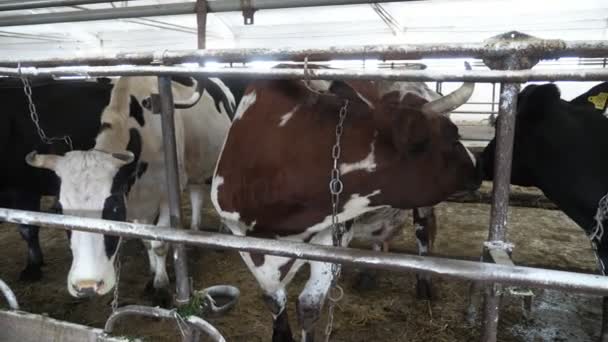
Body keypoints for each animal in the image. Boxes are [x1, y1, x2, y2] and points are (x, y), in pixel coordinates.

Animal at [24, 76, 233, 298]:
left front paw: (160, 284)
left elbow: (159, 243)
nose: (87, 286)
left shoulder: (167, 196)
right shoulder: (134, 203)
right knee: (196, 194)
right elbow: (146, 240)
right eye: (59, 210)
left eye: (114, 208)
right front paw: (153, 273)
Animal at [211, 67, 482, 342]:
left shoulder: (333, 234)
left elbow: (308, 306)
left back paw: (424, 282)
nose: (478, 167)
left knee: (424, 231)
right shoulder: (242, 237)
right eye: (452, 135)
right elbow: (273, 298)